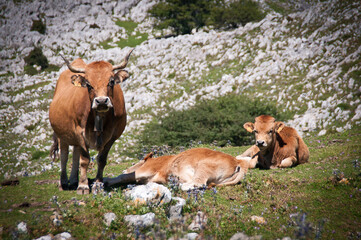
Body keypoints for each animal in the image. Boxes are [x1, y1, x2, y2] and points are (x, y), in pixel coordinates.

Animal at [47, 49, 132, 194]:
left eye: (111, 81)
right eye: (88, 84)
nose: (102, 101)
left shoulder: (113, 136)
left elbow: (101, 159)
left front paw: (98, 184)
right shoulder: (79, 132)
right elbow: (85, 160)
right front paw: (83, 186)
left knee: (75, 153)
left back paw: (73, 181)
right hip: (61, 135)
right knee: (64, 156)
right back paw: (63, 183)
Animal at [102, 147, 246, 190]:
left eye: (138, 162)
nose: (125, 168)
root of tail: (237, 162)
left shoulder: (147, 169)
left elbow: (124, 177)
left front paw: (106, 180)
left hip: (204, 166)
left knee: (199, 183)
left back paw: (178, 185)